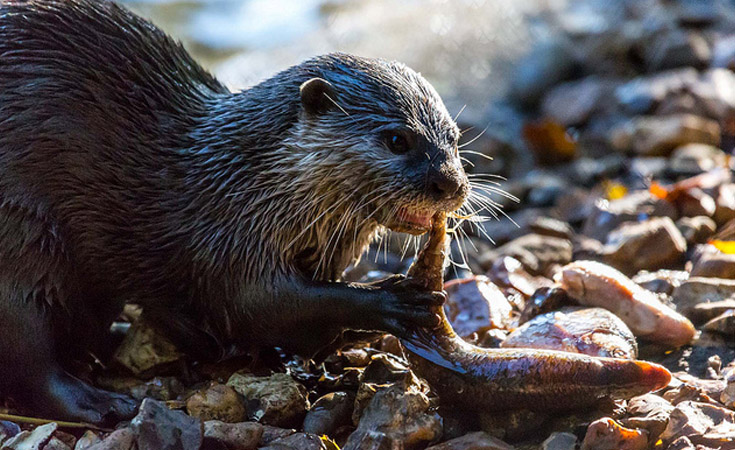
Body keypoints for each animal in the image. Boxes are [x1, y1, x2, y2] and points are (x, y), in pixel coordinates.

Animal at [0, 0, 468, 424]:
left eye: (454, 137)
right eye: (397, 139)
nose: (451, 184)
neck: (243, 181)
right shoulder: (226, 239)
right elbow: (261, 304)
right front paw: (393, 299)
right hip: (21, 232)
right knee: (28, 351)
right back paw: (100, 404)